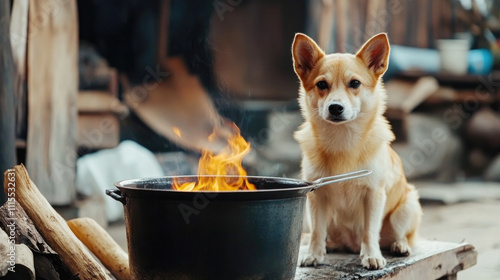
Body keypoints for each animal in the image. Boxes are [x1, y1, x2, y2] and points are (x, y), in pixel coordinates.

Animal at [292, 32, 422, 270]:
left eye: (354, 83)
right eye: (321, 84)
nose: (335, 107)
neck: (342, 140)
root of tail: (350, 245)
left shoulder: (373, 194)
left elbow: (370, 231)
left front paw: (372, 256)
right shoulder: (316, 196)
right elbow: (317, 230)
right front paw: (314, 254)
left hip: (406, 208)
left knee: (402, 235)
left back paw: (399, 246)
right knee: (322, 234)